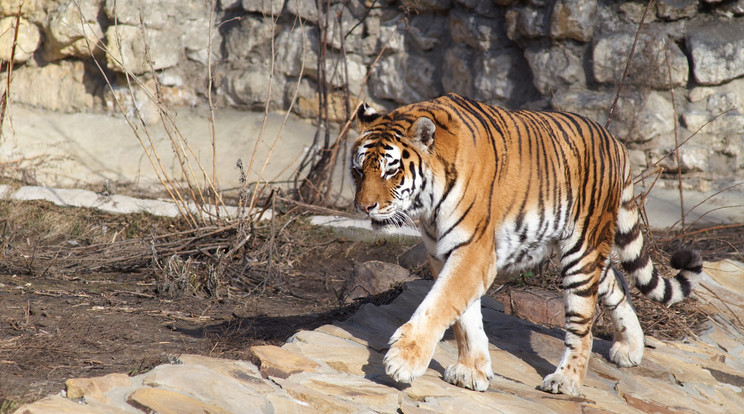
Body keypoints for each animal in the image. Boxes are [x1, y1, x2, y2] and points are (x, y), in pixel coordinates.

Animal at [348, 93, 704, 394]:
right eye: (358, 172)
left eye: (391, 172)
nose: (364, 207)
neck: (428, 206)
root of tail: (615, 141)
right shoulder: (444, 252)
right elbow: (465, 318)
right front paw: (472, 371)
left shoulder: (473, 251)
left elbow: (438, 305)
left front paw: (403, 360)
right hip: (585, 252)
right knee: (618, 282)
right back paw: (630, 348)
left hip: (581, 250)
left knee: (583, 325)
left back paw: (566, 381)